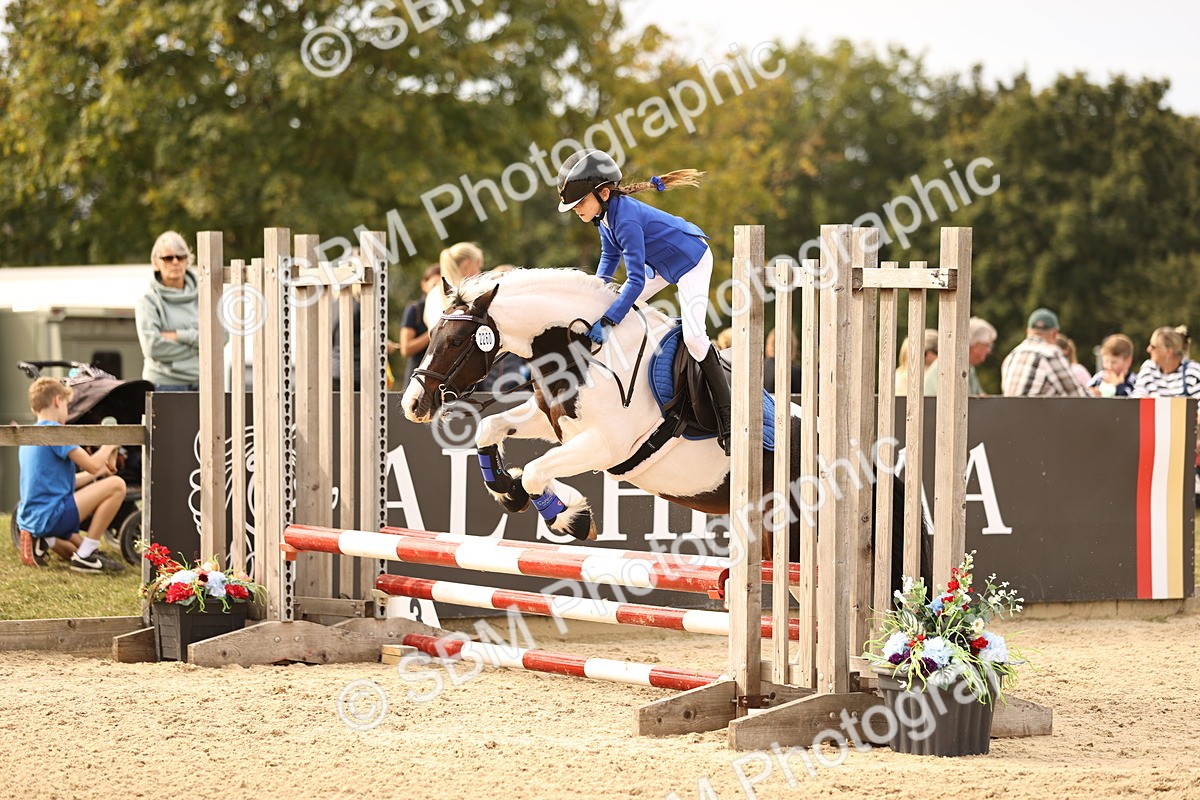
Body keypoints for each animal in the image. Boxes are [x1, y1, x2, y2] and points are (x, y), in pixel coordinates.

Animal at [401, 268, 928, 588]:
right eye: (433, 335)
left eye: (454, 342)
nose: (413, 404)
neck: (581, 348)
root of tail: (873, 468)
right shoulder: (554, 424)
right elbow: (492, 430)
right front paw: (506, 492)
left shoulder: (608, 445)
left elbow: (537, 470)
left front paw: (571, 518)